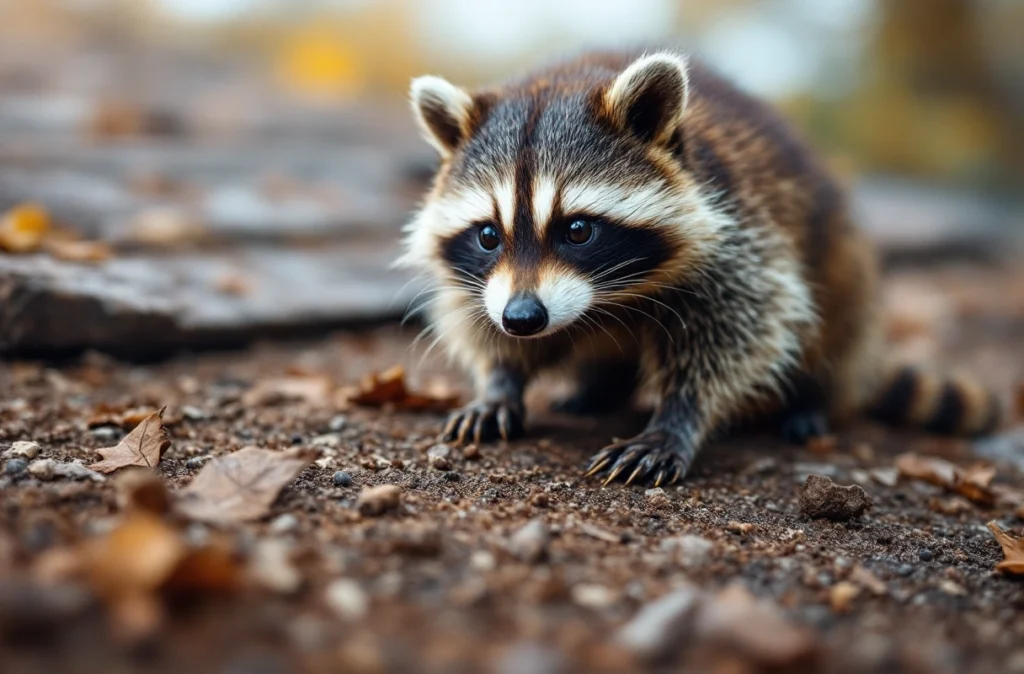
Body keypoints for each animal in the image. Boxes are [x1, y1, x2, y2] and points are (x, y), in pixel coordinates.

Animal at [397, 49, 1002, 486]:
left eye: (578, 230)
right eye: (488, 235)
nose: (523, 319)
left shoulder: (737, 230)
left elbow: (741, 327)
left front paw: (677, 418)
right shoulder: (485, 283)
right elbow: (477, 315)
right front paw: (499, 382)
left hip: (843, 260)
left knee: (829, 321)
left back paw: (810, 397)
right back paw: (600, 386)